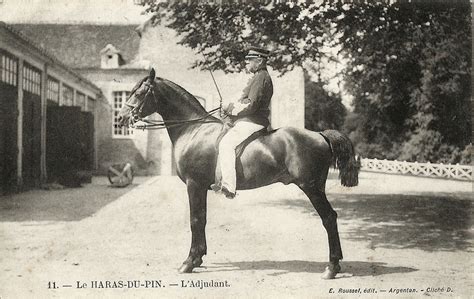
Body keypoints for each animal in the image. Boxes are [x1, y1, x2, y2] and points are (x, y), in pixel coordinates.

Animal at [118, 69, 360, 280]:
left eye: (139, 93)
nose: (121, 118)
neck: (195, 130)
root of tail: (320, 134)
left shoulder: (194, 185)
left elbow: (195, 220)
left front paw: (188, 262)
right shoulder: (200, 187)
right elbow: (202, 219)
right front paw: (199, 258)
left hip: (312, 188)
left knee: (329, 218)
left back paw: (332, 267)